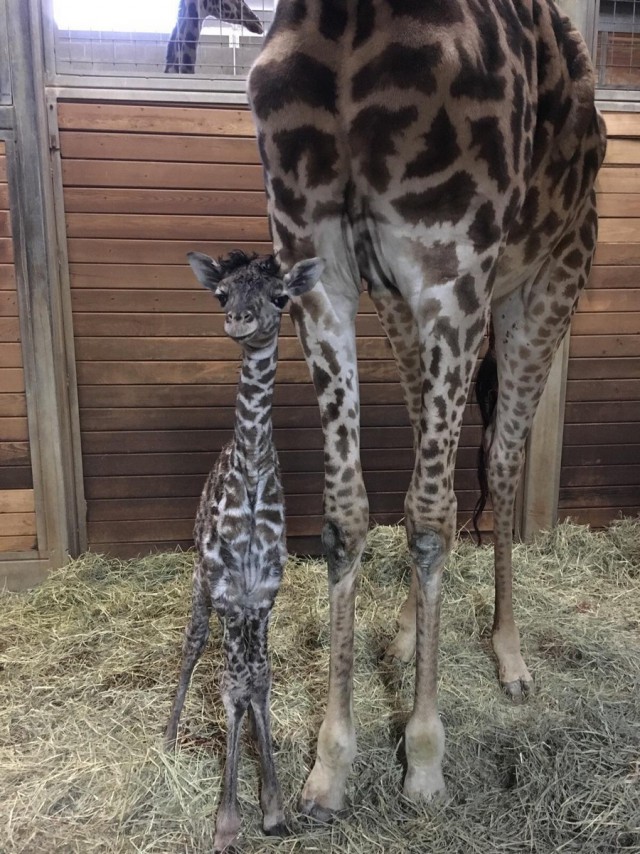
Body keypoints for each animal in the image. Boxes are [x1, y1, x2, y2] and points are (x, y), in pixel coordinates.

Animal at [166, 246, 324, 848]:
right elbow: (233, 687)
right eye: (221, 294)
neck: (251, 472)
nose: (240, 321)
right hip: (200, 585)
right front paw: (228, 820)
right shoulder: (231, 593)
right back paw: (167, 736)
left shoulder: (263, 596)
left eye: (281, 297)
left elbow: (259, 683)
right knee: (192, 648)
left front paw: (274, 805)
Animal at [248, 0, 608, 816]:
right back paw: (412, 637)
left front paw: (423, 756)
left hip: (548, 283)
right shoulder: (319, 272)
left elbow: (436, 515)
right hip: (403, 309)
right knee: (428, 457)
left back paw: (510, 659)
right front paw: (331, 764)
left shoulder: (453, 270)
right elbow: (349, 513)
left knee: (497, 463)